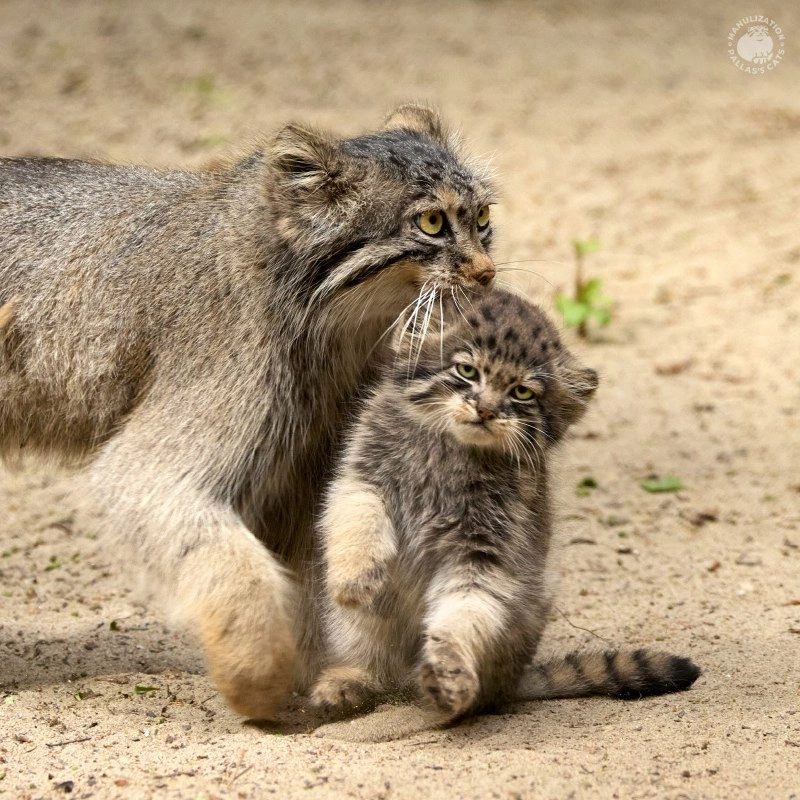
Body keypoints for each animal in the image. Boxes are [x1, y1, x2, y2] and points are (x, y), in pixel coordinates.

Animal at [0, 106, 496, 720]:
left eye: (482, 218)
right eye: (431, 222)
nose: (487, 273)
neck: (326, 324)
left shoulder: (305, 470)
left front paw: (338, 671)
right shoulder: (166, 455)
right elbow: (232, 562)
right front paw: (257, 672)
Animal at [312, 292, 700, 720]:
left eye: (522, 393)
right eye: (466, 371)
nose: (485, 409)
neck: (451, 453)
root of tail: (512, 681)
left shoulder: (484, 552)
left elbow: (462, 616)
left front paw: (449, 674)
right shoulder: (361, 476)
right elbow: (357, 518)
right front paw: (356, 578)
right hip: (355, 627)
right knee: (370, 658)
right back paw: (348, 680)